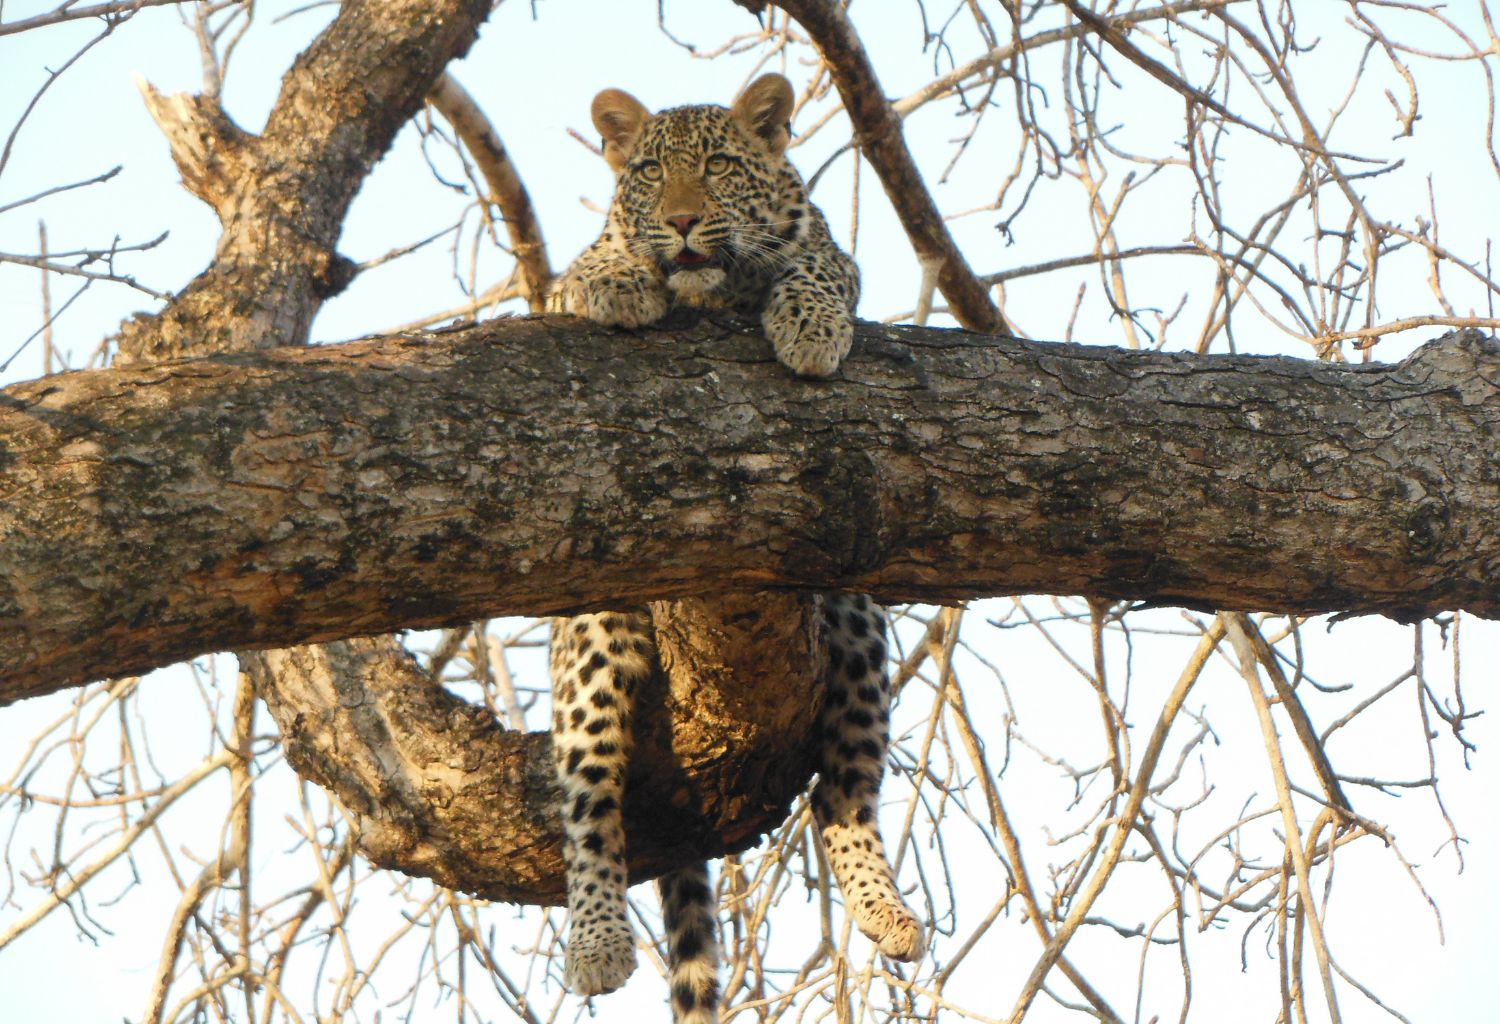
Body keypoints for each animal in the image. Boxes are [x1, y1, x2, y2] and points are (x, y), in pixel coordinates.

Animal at [545, 74, 924, 1024]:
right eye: (648, 172)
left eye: (717, 166)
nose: (682, 221)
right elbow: (581, 273)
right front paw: (619, 281)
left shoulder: (828, 250)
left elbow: (816, 269)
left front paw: (810, 332)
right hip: (596, 636)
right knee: (589, 806)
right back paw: (597, 943)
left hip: (855, 618)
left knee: (843, 795)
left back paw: (887, 910)